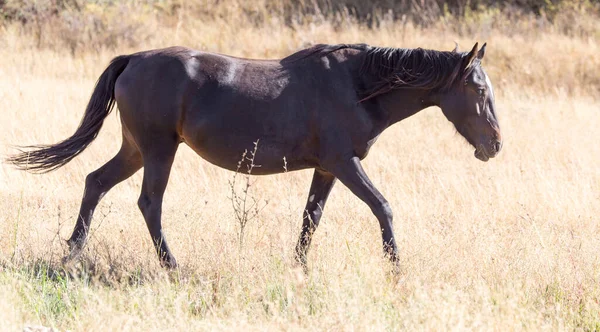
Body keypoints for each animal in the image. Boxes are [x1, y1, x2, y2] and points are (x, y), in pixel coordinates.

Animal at [7, 41, 502, 270]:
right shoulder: (345, 163)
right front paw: (395, 267)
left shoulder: (327, 169)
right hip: (158, 150)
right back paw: (172, 265)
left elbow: (310, 219)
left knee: (95, 182)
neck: (357, 86)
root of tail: (134, 59)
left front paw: (299, 267)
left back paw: (72, 252)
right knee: (149, 204)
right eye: (479, 90)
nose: (495, 145)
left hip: (135, 149)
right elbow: (383, 207)